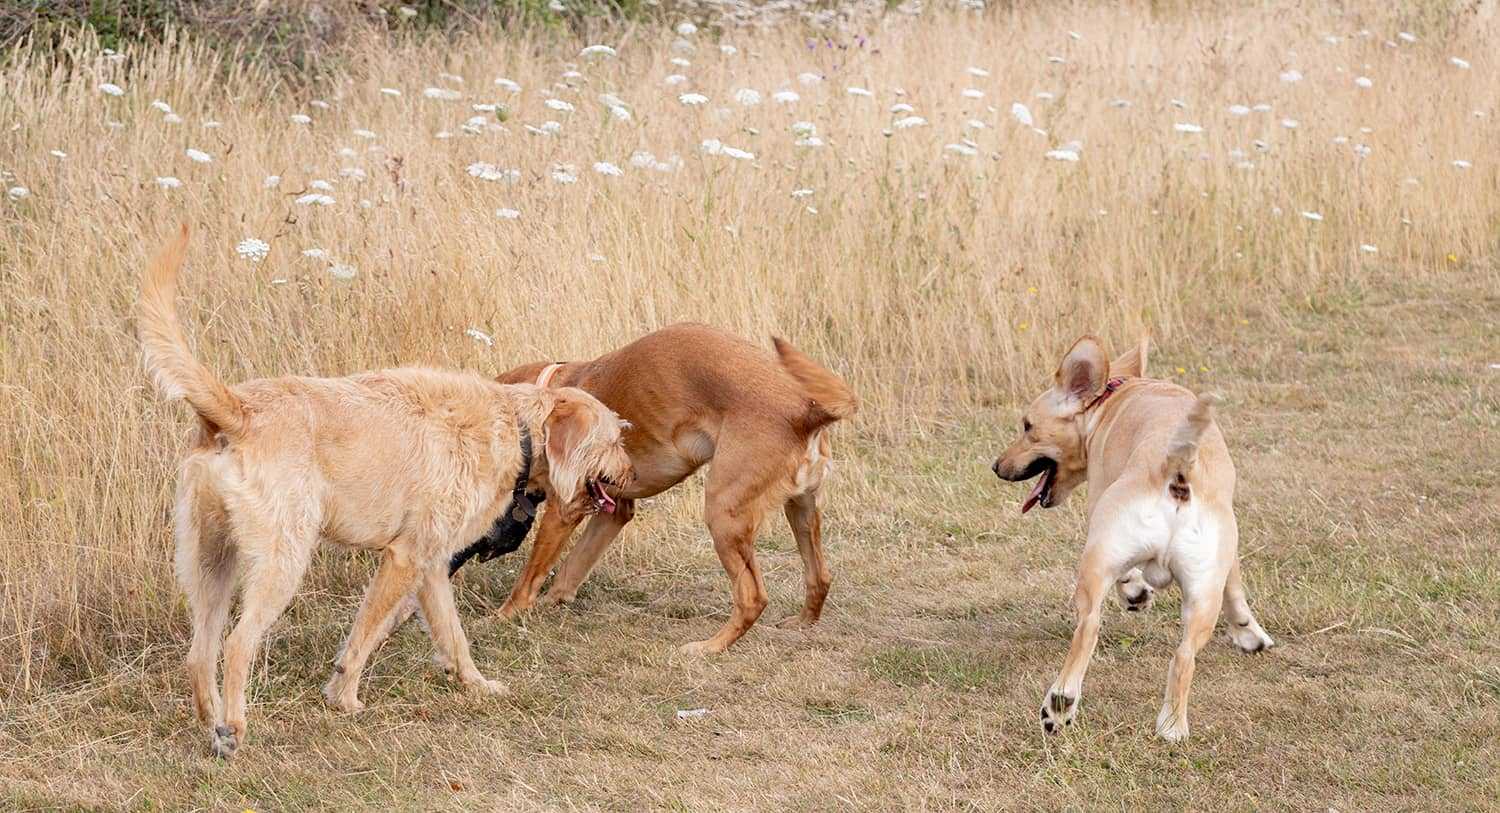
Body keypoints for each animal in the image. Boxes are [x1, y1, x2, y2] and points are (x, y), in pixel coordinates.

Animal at [137, 225, 632, 758]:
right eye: (613, 440)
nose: (631, 474)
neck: (515, 429)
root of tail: (238, 411)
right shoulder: (403, 559)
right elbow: (364, 635)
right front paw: (346, 699)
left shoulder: (431, 566)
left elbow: (452, 635)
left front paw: (476, 685)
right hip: (281, 564)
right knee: (236, 644)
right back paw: (236, 729)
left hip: (210, 563)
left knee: (200, 651)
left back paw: (213, 727)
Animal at [471, 323, 857, 655]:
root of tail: (805, 411)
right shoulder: (613, 512)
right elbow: (571, 569)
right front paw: (552, 601)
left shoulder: (566, 509)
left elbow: (528, 579)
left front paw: (501, 617)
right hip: (802, 510)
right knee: (820, 576)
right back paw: (802, 623)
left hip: (723, 513)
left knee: (752, 598)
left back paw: (708, 648)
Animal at [992, 335, 1274, 741]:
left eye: (1028, 426)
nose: (996, 466)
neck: (1109, 400)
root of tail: (1177, 467)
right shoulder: (1227, 552)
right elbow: (1235, 587)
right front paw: (1249, 633)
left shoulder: (1098, 505)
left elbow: (1128, 577)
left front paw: (1136, 591)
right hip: (1202, 594)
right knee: (1184, 656)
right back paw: (1172, 726)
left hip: (1097, 557)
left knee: (1089, 627)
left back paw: (1060, 704)